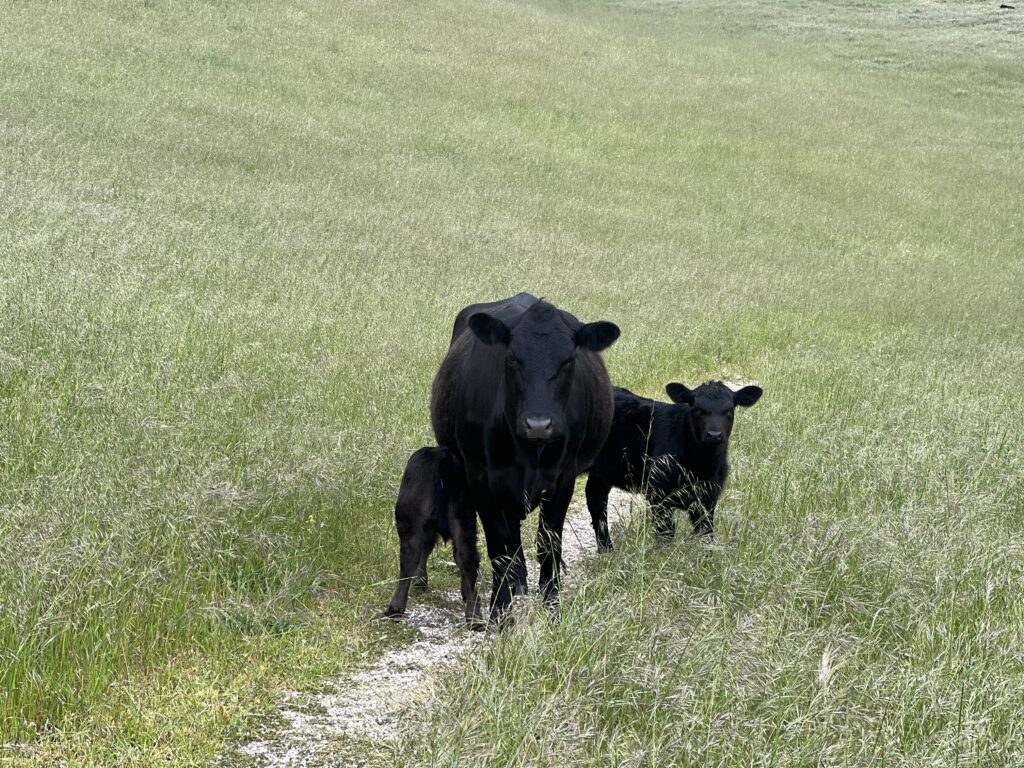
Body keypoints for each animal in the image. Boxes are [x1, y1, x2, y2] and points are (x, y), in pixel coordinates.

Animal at [384, 446, 483, 627]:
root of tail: (442, 456)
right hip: (462, 520)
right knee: (467, 560)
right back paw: (475, 617)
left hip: (409, 521)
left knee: (409, 560)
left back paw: (395, 608)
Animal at [431, 292, 620, 622]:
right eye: (512, 358)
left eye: (569, 360)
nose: (539, 424)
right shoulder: (480, 477)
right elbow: (498, 545)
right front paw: (500, 611)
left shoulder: (563, 478)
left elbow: (549, 541)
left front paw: (552, 603)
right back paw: (516, 583)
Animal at [585, 381, 763, 548]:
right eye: (697, 409)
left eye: (729, 410)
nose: (714, 435)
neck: (702, 464)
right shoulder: (659, 495)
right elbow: (666, 534)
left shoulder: (708, 496)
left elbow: (706, 534)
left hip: (602, 473)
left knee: (596, 502)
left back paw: (606, 550)